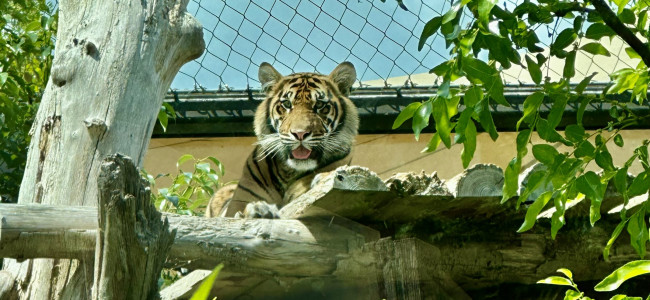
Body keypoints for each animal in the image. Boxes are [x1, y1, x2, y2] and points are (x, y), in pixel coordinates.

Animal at [206, 62, 360, 219]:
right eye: (286, 104)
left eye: (319, 105)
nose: (300, 133)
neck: (289, 172)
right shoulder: (236, 203)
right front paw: (258, 209)